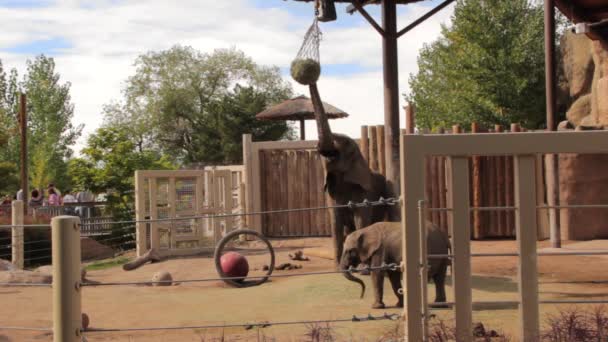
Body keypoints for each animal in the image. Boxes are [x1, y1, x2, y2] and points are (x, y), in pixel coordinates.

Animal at [308, 83, 400, 264]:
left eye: (346, 144)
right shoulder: (331, 193)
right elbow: (335, 223)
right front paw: (338, 266)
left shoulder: (364, 191)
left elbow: (361, 220)